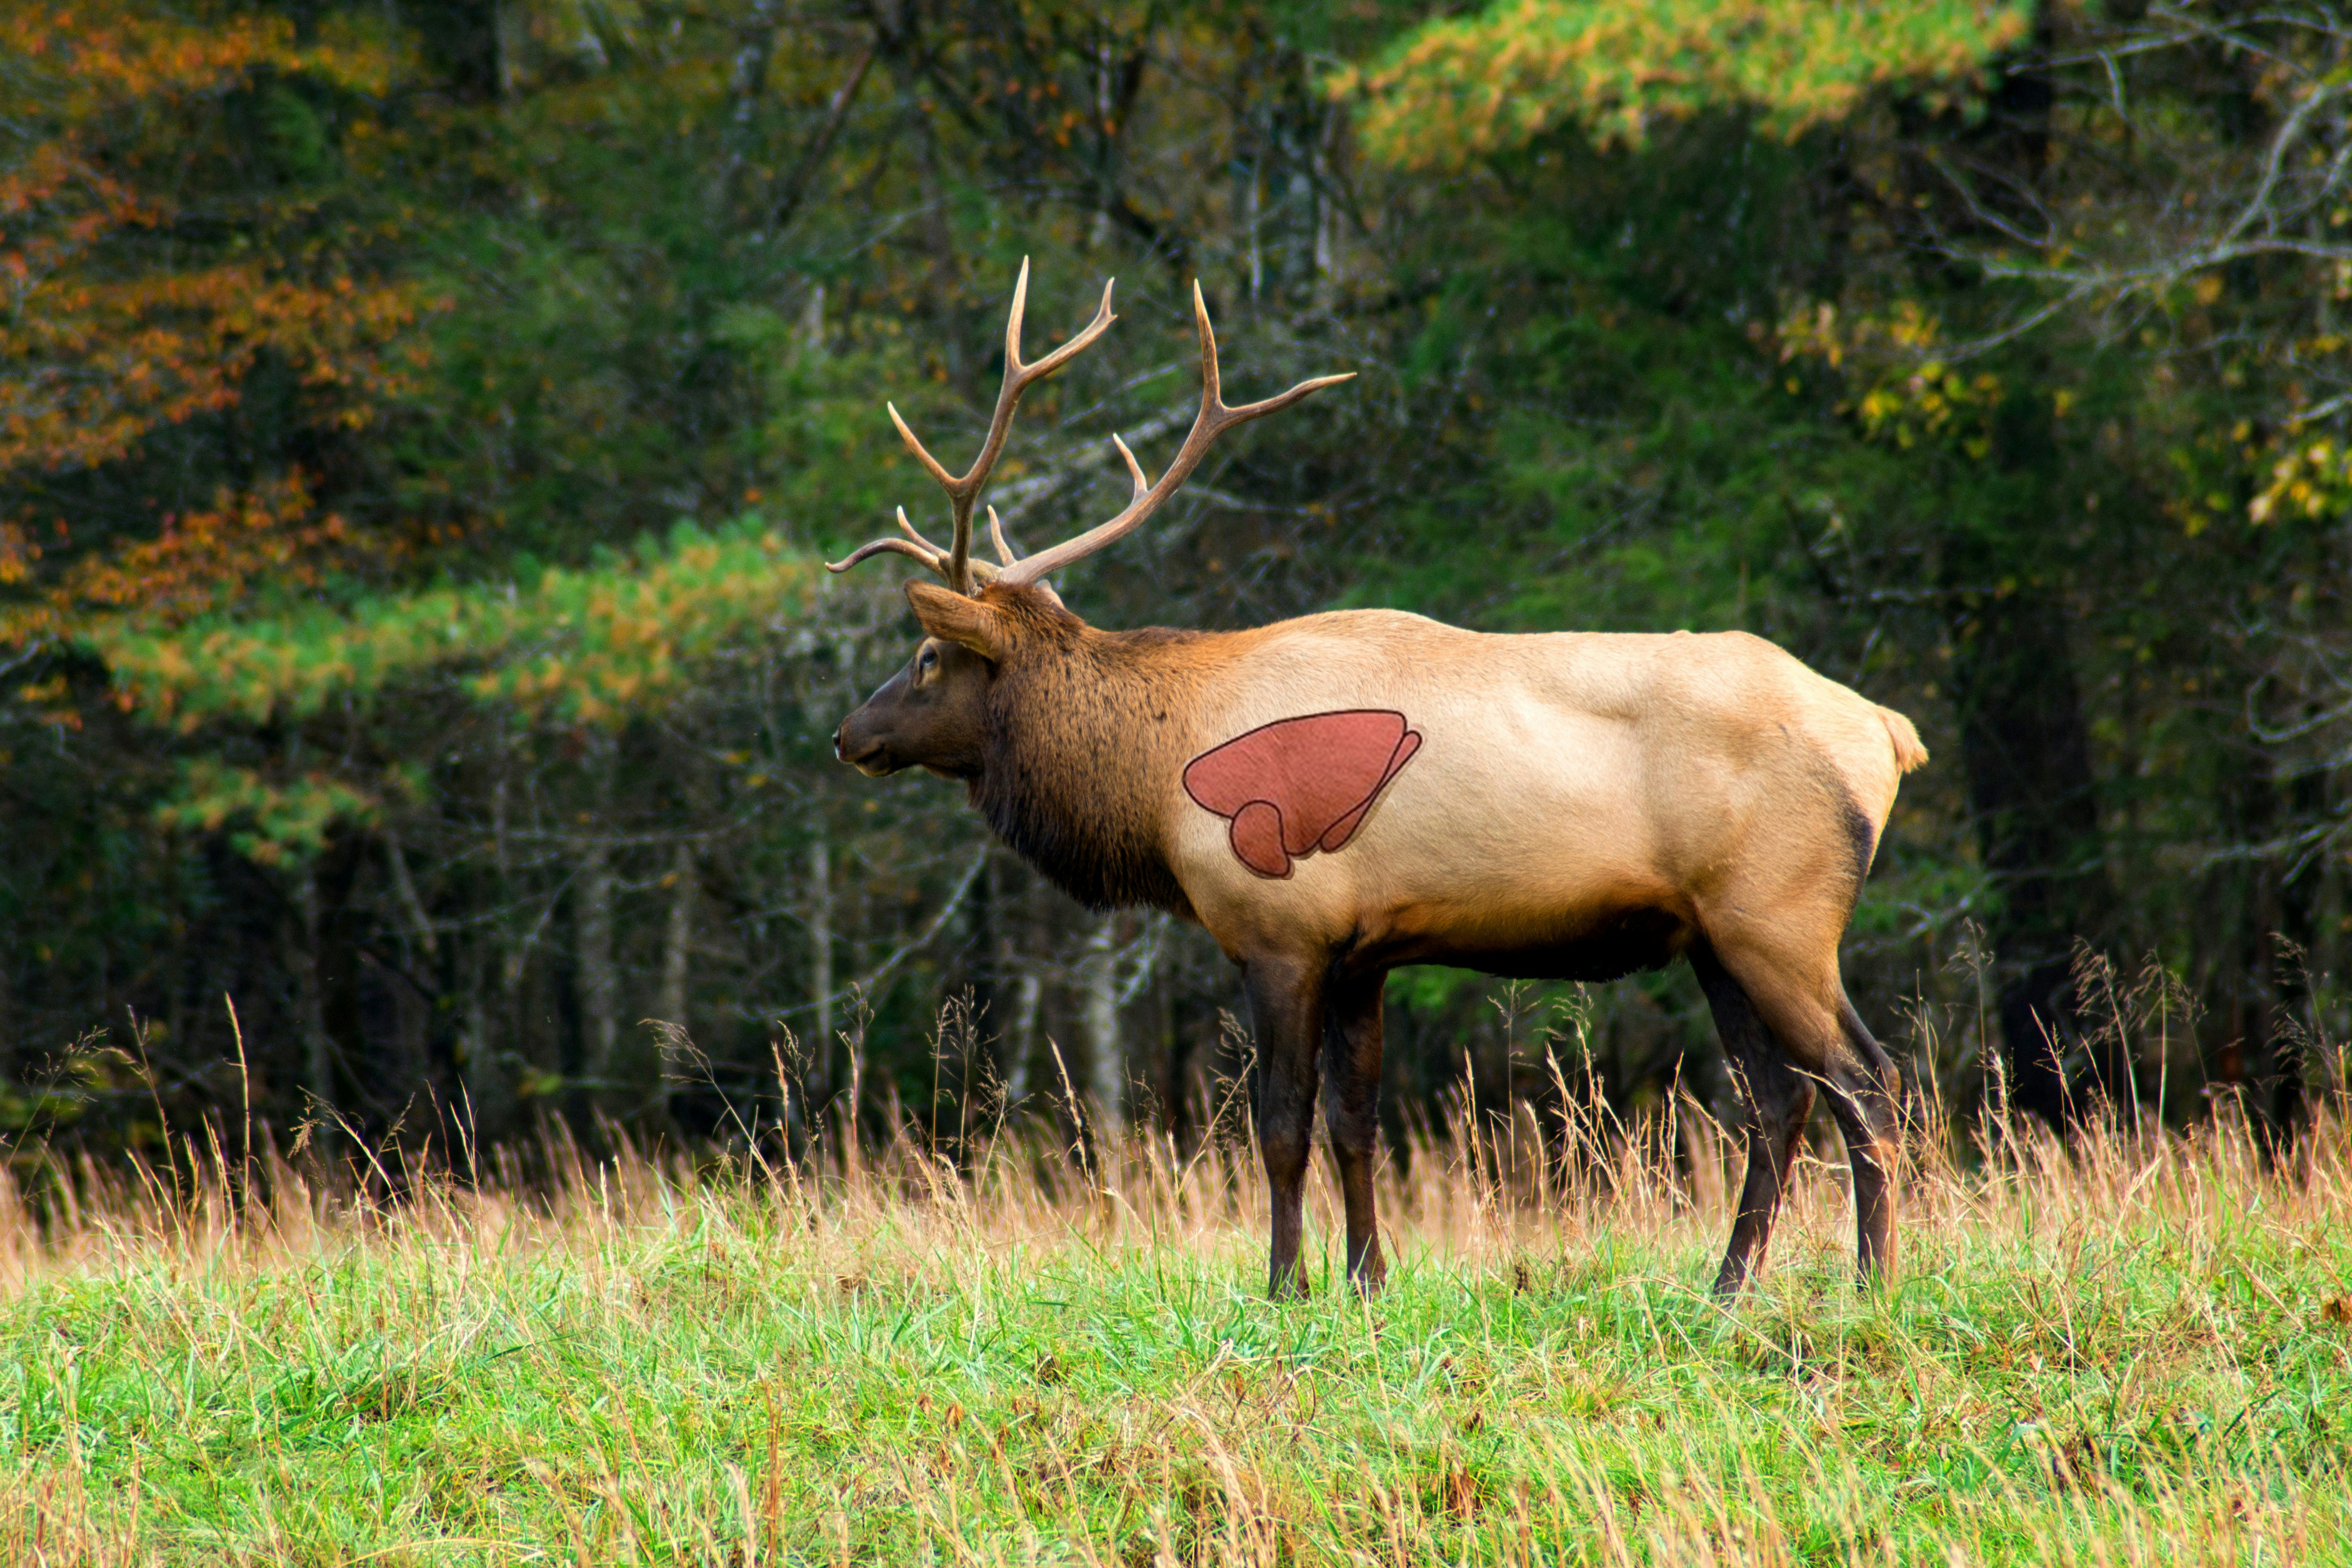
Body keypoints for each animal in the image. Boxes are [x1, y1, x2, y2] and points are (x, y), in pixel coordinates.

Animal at [830, 262, 1929, 1300]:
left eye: (926, 658)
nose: (849, 734)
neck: (1154, 779)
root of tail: (1887, 733)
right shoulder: (1364, 951)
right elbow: (1356, 1125)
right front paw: (1367, 1279)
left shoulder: (1280, 931)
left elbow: (1281, 1126)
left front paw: (1284, 1285)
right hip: (1711, 935)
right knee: (1781, 1098)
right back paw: (1729, 1286)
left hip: (1779, 916)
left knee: (1866, 1081)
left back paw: (1872, 1282)